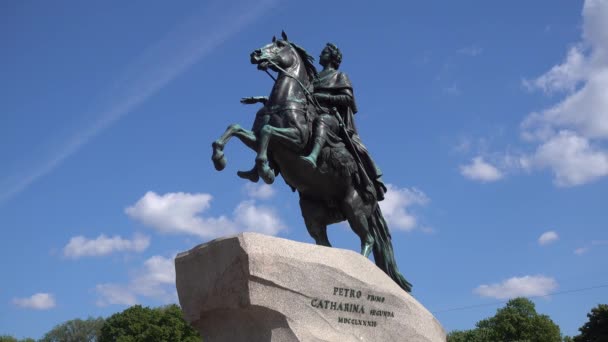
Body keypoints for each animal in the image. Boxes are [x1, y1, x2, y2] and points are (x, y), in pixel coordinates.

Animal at [210, 32, 414, 292]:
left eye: (279, 45)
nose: (255, 54)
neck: (285, 101)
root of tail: (374, 198)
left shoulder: (295, 140)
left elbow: (268, 131)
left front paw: (265, 169)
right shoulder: (255, 139)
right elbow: (235, 129)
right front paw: (221, 159)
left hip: (354, 207)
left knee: (367, 239)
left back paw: (362, 270)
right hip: (313, 214)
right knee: (325, 244)